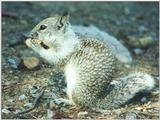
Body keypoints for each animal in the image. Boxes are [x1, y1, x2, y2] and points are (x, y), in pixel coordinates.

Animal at [25, 12, 155, 111]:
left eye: (43, 27)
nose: (30, 33)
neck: (65, 37)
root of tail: (95, 101)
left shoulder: (66, 52)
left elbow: (54, 57)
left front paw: (32, 43)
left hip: (75, 90)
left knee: (78, 103)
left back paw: (65, 100)